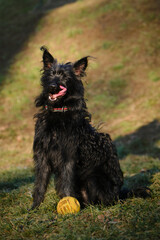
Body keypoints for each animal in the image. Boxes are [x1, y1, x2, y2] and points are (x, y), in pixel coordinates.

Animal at [31, 47, 148, 210]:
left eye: (65, 77)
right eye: (50, 74)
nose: (53, 86)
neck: (58, 112)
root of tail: (119, 195)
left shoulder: (68, 156)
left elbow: (67, 183)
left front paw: (69, 204)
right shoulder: (42, 155)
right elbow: (40, 184)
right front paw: (34, 208)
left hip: (93, 178)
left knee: (101, 201)